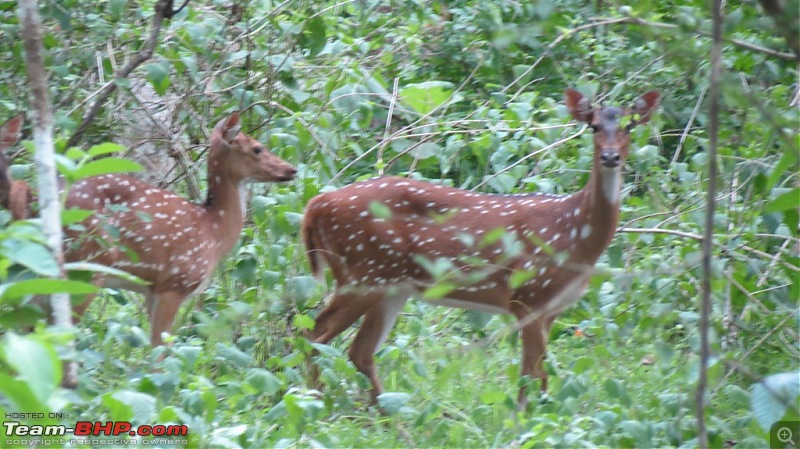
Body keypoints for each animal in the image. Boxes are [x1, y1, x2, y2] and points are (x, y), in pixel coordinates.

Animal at [0, 111, 296, 346]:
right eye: (257, 148)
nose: (291, 169)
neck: (212, 231)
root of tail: (34, 203)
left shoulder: (151, 290)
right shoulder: (175, 283)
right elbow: (159, 354)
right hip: (85, 265)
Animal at [304, 89, 660, 408]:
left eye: (630, 126)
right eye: (594, 126)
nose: (610, 157)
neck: (574, 234)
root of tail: (316, 205)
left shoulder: (552, 308)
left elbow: (538, 374)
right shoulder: (527, 294)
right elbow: (532, 373)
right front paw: (525, 422)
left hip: (391, 284)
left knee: (359, 351)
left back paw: (390, 417)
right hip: (364, 271)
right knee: (316, 334)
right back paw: (316, 402)